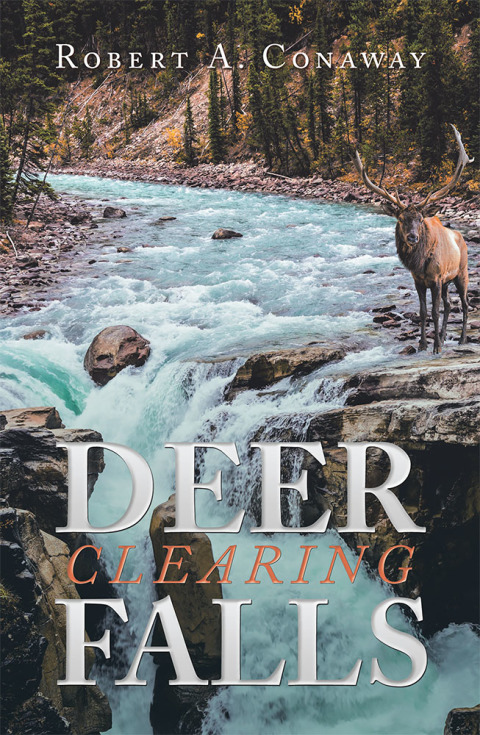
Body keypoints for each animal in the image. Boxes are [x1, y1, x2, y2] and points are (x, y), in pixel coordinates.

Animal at [354, 125, 474, 354]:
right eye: (401, 219)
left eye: (420, 219)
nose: (412, 236)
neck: (420, 264)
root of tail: (461, 238)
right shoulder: (418, 281)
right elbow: (423, 311)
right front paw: (423, 344)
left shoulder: (436, 279)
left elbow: (434, 312)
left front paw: (436, 347)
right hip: (448, 281)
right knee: (448, 304)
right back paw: (443, 336)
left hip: (461, 272)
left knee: (464, 304)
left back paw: (461, 339)